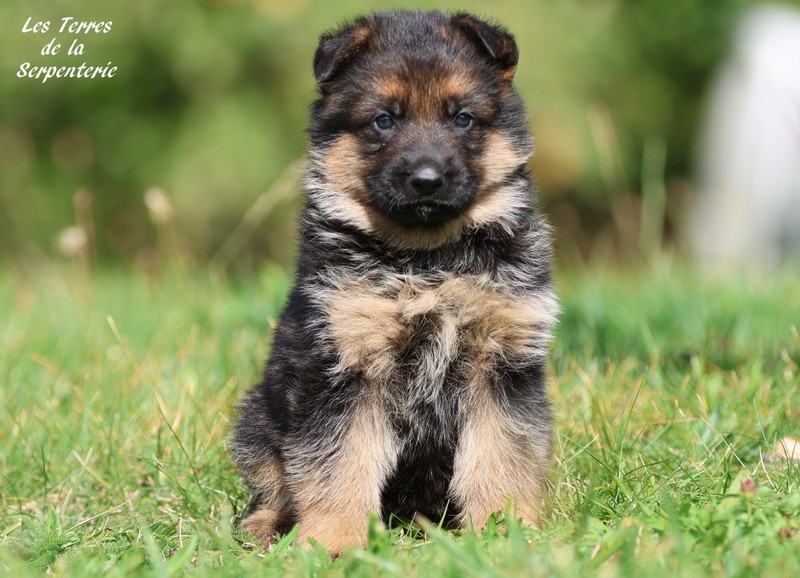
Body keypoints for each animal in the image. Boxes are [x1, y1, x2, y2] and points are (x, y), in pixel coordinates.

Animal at [230, 7, 556, 548]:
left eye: (462, 117)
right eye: (384, 120)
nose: (426, 179)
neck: (426, 262)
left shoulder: (501, 365)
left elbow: (501, 456)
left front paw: (504, 532)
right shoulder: (344, 366)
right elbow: (339, 464)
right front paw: (332, 543)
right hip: (258, 416)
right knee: (274, 483)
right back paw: (263, 525)